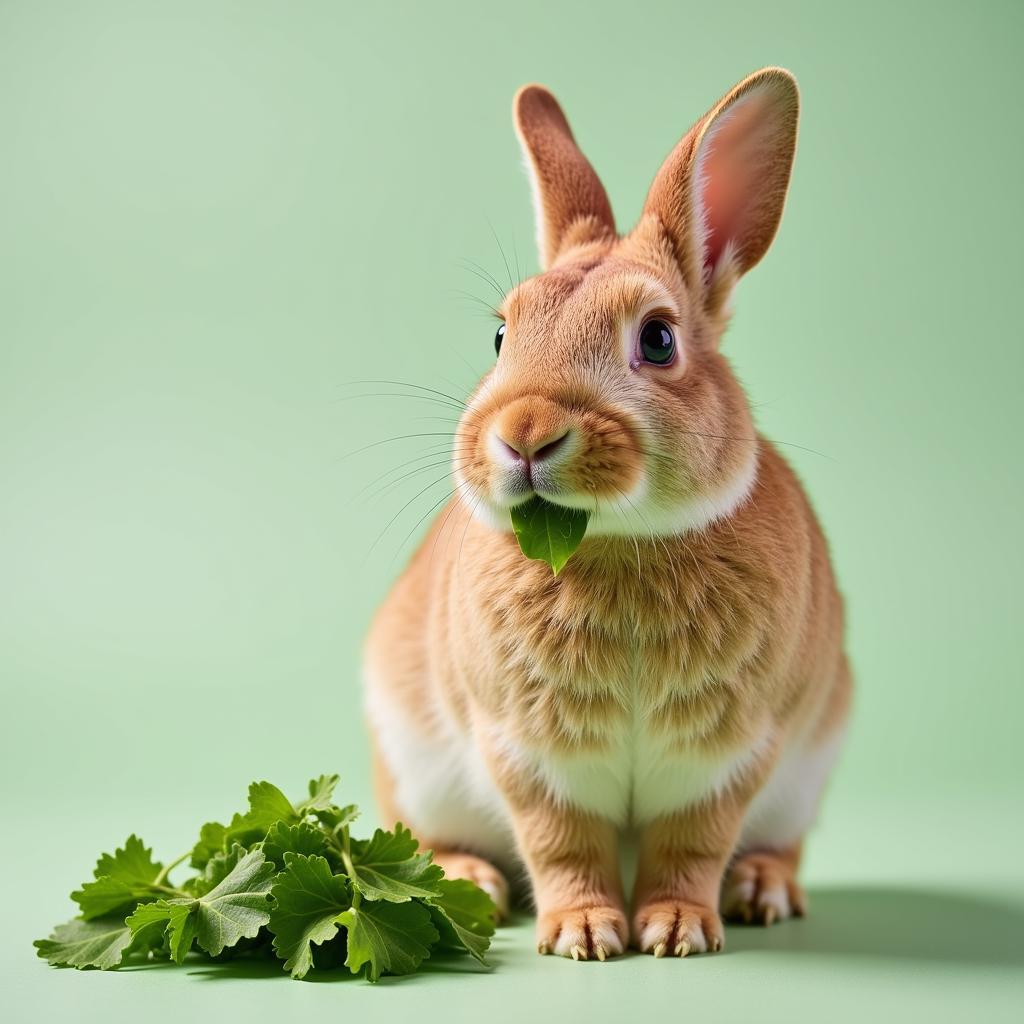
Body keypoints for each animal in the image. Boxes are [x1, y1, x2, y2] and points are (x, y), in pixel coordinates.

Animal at [364, 66, 851, 958]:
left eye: (658, 339)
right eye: (501, 335)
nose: (524, 433)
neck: (619, 541)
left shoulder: (733, 753)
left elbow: (692, 843)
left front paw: (675, 930)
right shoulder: (526, 754)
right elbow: (561, 842)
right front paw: (585, 934)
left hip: (805, 775)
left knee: (778, 844)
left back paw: (762, 891)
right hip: (415, 772)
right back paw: (469, 882)